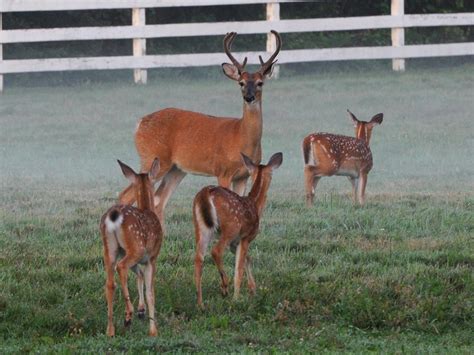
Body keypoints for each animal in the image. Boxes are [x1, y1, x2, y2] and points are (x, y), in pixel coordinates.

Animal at [98, 159, 163, 336]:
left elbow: (139, 276)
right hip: (136, 248)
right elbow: (150, 292)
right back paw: (128, 315)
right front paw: (153, 330)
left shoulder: (136, 259)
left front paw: (142, 311)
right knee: (121, 267)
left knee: (109, 283)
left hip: (110, 250)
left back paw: (110, 330)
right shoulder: (152, 257)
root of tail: (113, 216)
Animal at [118, 30, 282, 225]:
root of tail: (140, 123)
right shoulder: (223, 171)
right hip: (152, 158)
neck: (241, 137)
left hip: (176, 169)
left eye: (260, 83)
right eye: (241, 83)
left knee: (159, 200)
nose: (249, 97)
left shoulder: (244, 176)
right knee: (126, 195)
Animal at [192, 153, 282, 308]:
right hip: (231, 227)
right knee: (216, 251)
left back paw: (200, 303)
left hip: (200, 227)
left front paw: (253, 289)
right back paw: (224, 287)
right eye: (272, 175)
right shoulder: (246, 236)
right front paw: (237, 298)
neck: (255, 205)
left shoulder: (234, 243)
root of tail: (205, 193)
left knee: (198, 258)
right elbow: (239, 267)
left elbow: (248, 258)